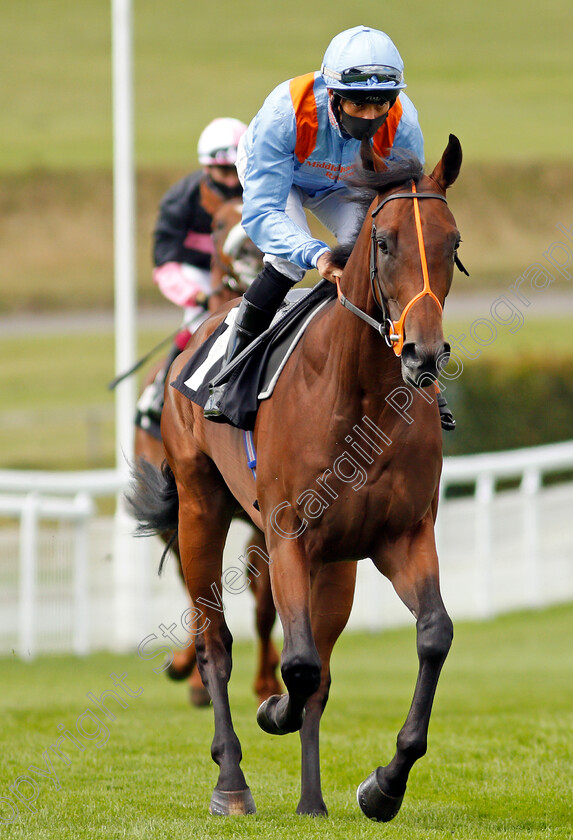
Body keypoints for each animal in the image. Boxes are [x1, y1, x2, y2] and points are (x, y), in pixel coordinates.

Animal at [133, 199, 278, 708]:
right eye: (215, 223)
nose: (249, 251)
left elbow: (264, 600)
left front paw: (268, 683)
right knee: (188, 580)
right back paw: (189, 671)